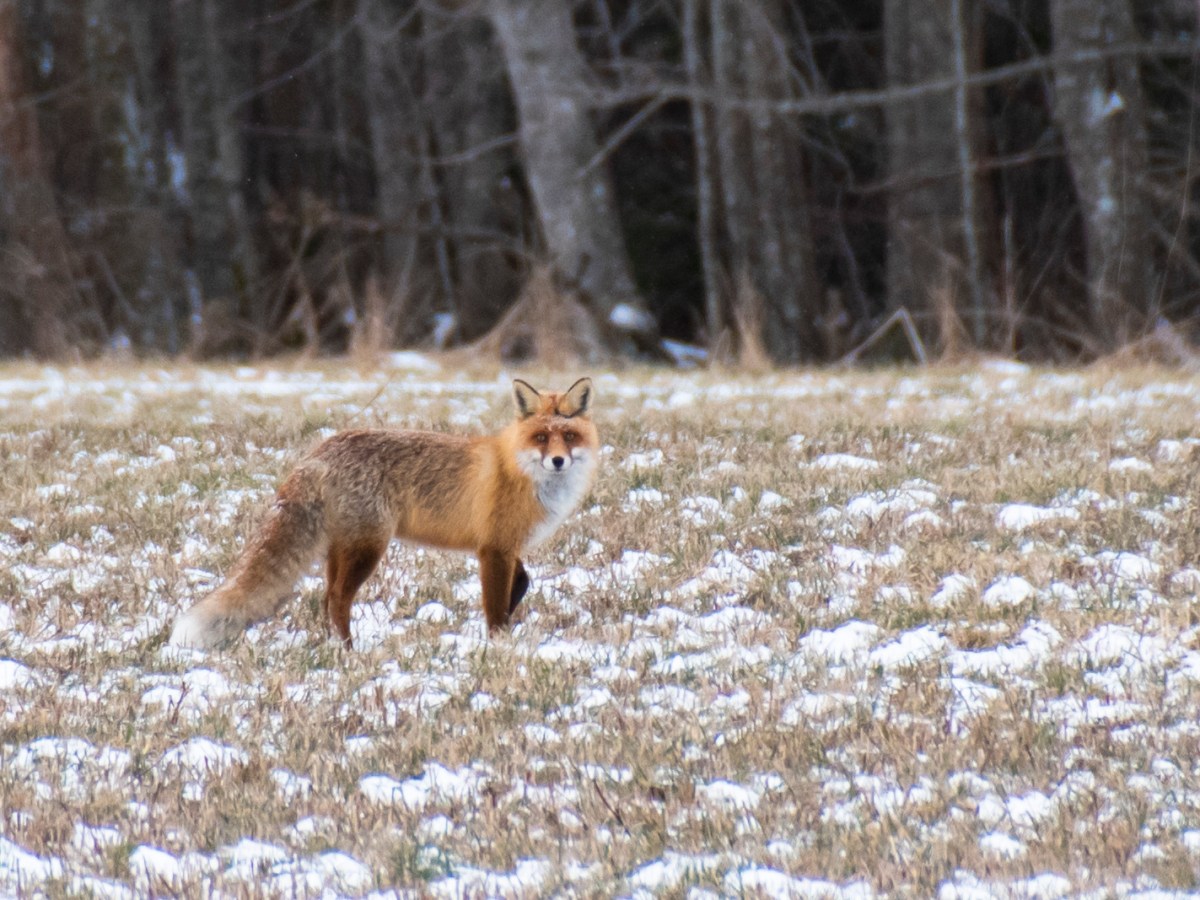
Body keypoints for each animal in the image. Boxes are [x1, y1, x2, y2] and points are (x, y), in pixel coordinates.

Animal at [169, 377, 598, 649]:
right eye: (540, 437)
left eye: (569, 436)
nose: (558, 461)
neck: (523, 472)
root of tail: (319, 451)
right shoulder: (493, 549)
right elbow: (495, 607)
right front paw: (498, 647)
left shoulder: (504, 547)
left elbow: (522, 582)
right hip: (368, 547)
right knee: (337, 599)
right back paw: (349, 652)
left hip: (341, 548)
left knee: (325, 598)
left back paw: (334, 646)